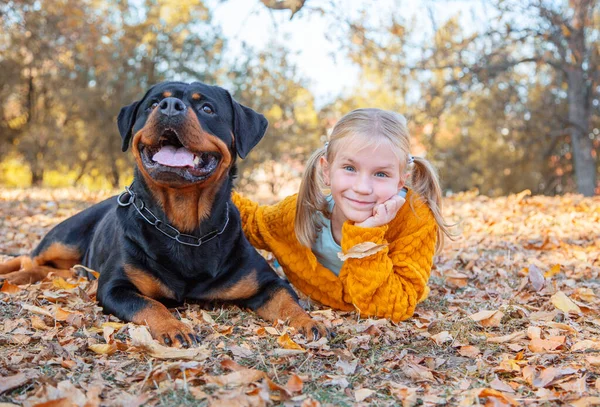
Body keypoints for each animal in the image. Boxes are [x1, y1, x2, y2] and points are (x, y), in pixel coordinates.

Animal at [0, 82, 326, 348]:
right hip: (65, 238)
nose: (169, 106)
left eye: (207, 108)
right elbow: (150, 305)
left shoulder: (266, 282)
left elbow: (288, 302)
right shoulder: (114, 287)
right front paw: (174, 327)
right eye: (154, 103)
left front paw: (309, 322)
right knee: (30, 259)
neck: (184, 228)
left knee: (48, 270)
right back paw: (12, 275)